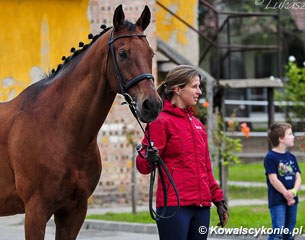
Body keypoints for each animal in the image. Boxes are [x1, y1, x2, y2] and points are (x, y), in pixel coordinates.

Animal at [0, 4, 162, 240]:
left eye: (151, 53)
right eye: (123, 53)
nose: (152, 105)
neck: (60, 129)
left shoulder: (74, 211)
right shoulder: (35, 211)